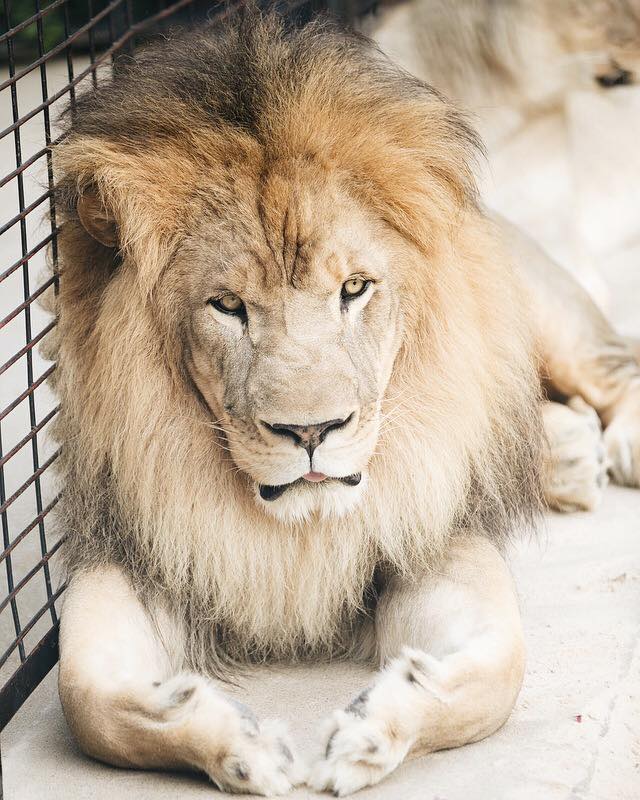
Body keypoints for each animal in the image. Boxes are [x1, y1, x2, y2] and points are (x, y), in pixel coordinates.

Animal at [49, 10, 640, 797]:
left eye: (354, 288)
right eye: (228, 306)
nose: (312, 431)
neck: (299, 530)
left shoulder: (433, 543)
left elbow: (500, 674)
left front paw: (370, 733)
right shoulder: (135, 553)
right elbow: (85, 698)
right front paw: (241, 745)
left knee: (611, 365)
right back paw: (568, 458)